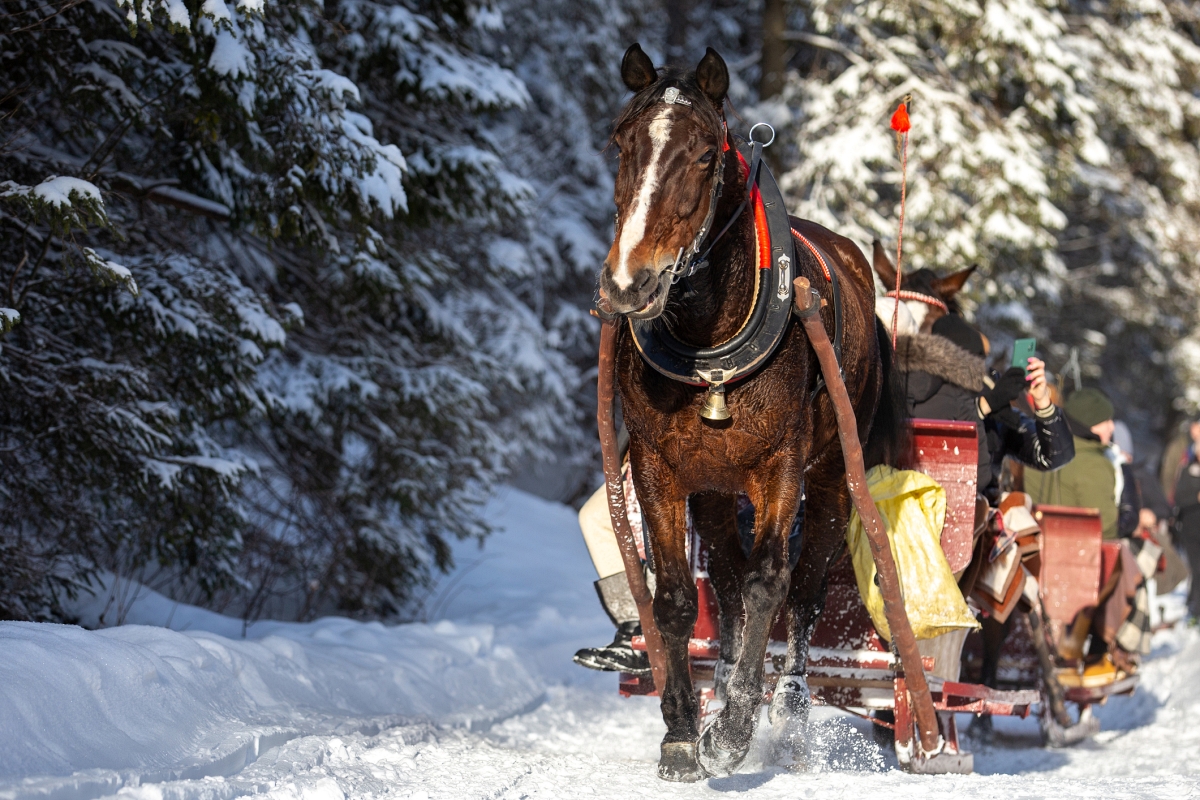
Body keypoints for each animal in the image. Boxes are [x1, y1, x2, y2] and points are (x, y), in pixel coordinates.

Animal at [604, 45, 902, 782]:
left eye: (704, 152)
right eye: (621, 142)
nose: (628, 283)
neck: (709, 343)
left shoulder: (780, 468)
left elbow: (773, 583)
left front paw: (733, 732)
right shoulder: (661, 468)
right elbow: (680, 599)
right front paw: (685, 734)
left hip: (829, 478)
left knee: (803, 588)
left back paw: (787, 715)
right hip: (715, 488)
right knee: (731, 584)